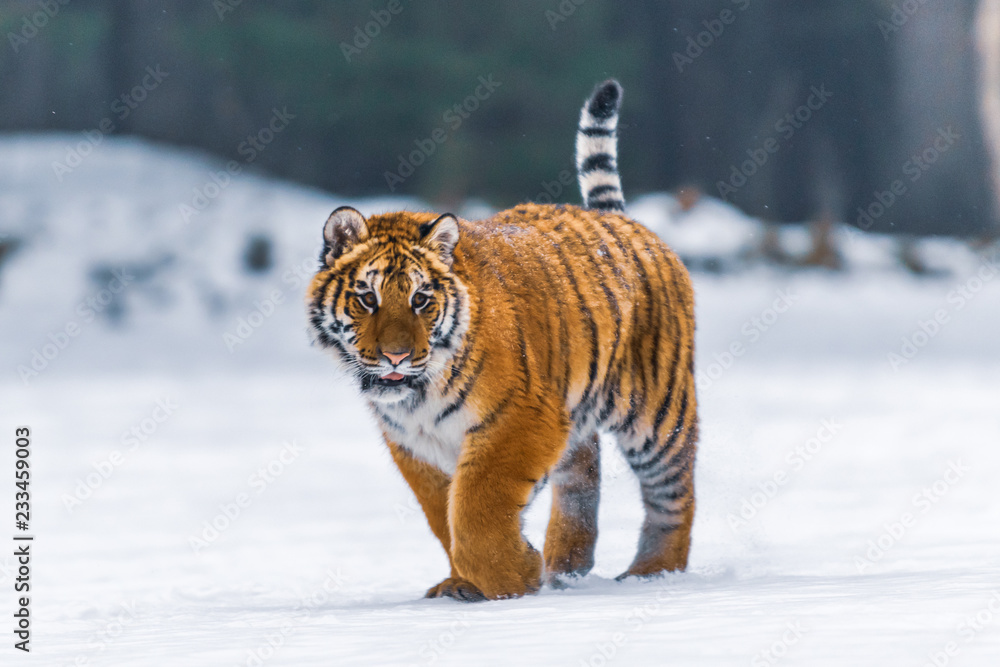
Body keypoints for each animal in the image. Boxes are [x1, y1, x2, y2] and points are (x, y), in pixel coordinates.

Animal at [306, 80, 697, 601]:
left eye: (420, 299)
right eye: (367, 298)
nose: (396, 356)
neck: (418, 397)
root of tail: (631, 226)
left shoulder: (520, 416)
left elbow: (476, 508)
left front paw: (510, 578)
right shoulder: (415, 445)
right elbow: (444, 517)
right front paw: (465, 581)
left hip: (657, 413)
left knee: (674, 495)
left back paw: (653, 573)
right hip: (580, 416)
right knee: (582, 480)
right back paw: (565, 566)